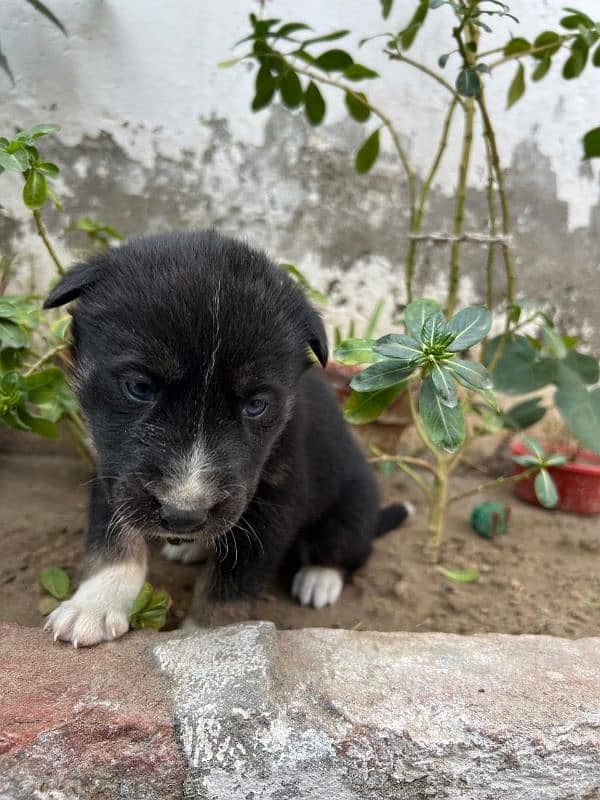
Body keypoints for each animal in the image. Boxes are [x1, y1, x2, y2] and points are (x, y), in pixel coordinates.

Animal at [43, 233, 412, 648]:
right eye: (138, 387)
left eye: (256, 405)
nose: (182, 516)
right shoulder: (113, 470)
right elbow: (112, 539)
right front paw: (93, 605)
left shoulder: (277, 501)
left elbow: (232, 583)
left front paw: (207, 636)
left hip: (351, 508)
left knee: (346, 548)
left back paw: (319, 578)